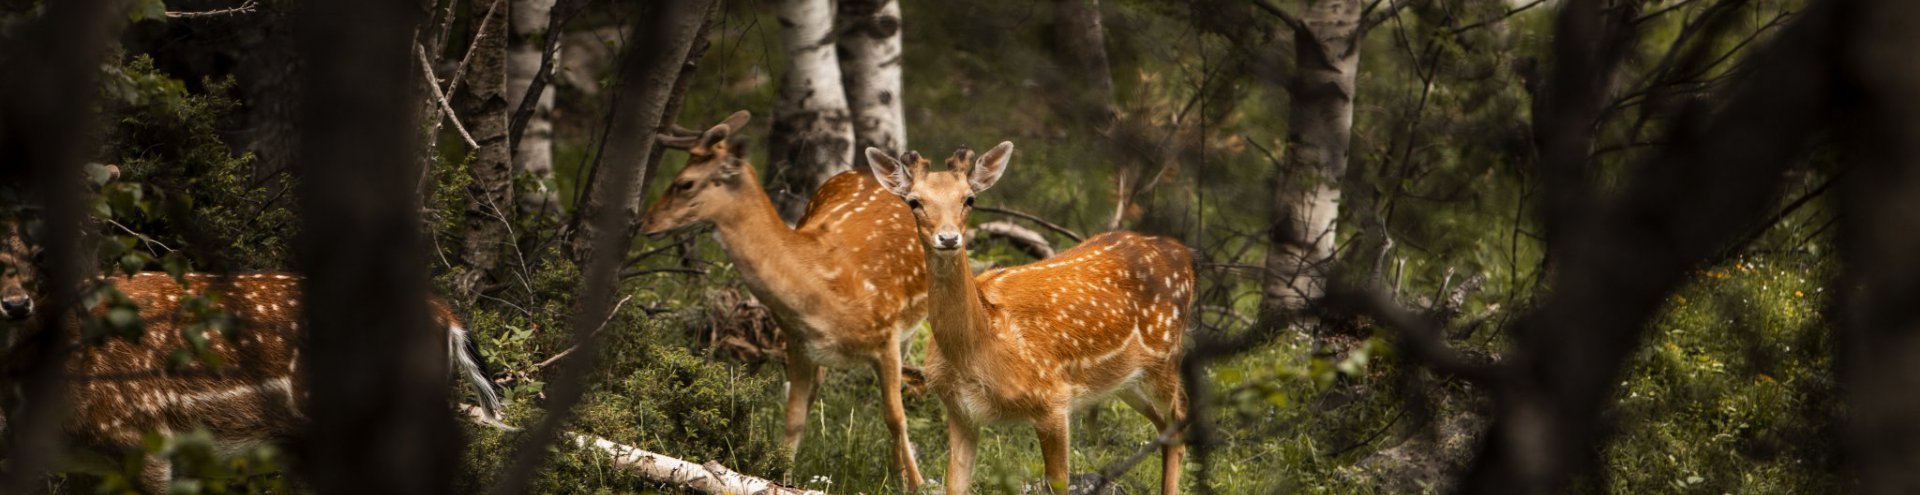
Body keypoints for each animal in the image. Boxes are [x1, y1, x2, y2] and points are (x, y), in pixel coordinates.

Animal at [641, 109, 933, 487]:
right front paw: (779, 476)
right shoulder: (798, 342)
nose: (645, 222)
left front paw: (916, 482)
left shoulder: (886, 336)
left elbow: (896, 417)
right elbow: (793, 416)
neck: (823, 291)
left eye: (685, 182)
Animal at [867, 143, 1190, 495]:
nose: (949, 238)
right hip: (1126, 380)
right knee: (1165, 427)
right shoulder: (960, 411)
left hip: (1164, 358)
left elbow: (1059, 484)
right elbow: (955, 485)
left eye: (969, 199)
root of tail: (1185, 256)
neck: (978, 351)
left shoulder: (1053, 400)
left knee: (1180, 419)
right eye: (914, 201)